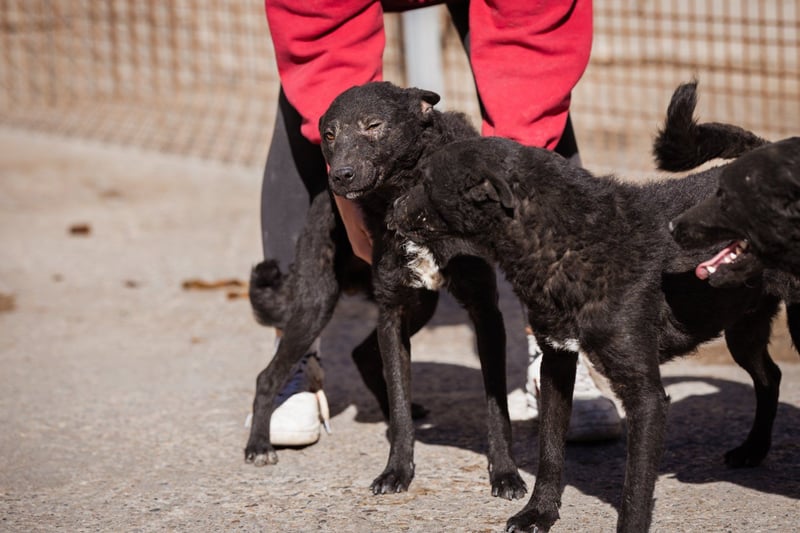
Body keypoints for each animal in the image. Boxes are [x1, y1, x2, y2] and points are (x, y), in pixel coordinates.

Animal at [388, 111, 800, 530]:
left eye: (426, 181)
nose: (392, 209)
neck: (574, 238)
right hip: (742, 328)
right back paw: (753, 449)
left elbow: (635, 490)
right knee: (770, 376)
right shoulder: (556, 361)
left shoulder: (646, 397)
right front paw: (539, 512)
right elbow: (550, 452)